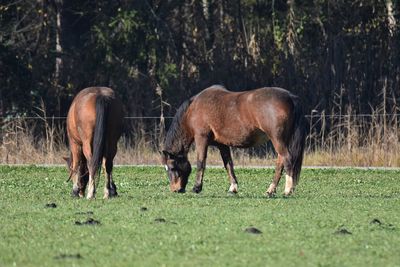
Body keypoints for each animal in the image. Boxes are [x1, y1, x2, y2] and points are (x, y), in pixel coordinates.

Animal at [162, 86, 306, 197]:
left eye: (171, 167)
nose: (175, 189)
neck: (194, 109)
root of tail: (290, 97)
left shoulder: (201, 138)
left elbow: (201, 162)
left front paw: (197, 187)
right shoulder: (222, 145)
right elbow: (228, 164)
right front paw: (233, 188)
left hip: (277, 139)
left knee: (287, 159)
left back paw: (287, 190)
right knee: (280, 162)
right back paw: (271, 190)